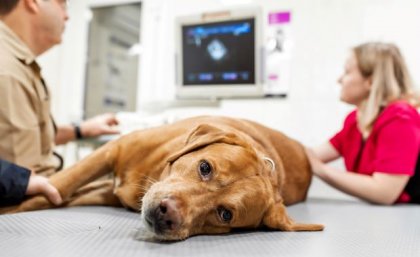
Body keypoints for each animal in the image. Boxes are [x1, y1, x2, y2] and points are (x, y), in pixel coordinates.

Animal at [0, 115, 324, 239]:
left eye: (225, 214)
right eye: (205, 168)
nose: (166, 213)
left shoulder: (106, 192)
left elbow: (55, 197)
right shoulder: (111, 151)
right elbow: (58, 186)